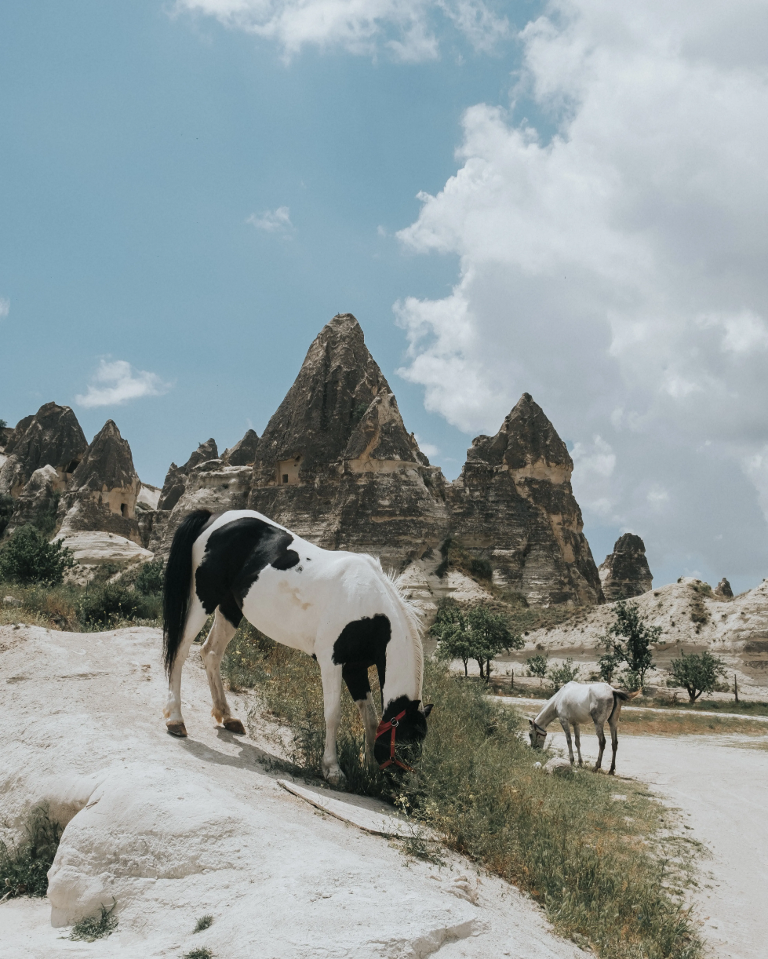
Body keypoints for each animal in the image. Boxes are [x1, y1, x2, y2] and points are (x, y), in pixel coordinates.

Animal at [162, 508, 431, 785]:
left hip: (230, 608)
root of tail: (213, 518)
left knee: (211, 653)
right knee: (180, 651)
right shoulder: (332, 663)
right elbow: (333, 714)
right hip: (203, 598)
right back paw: (176, 720)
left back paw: (228, 716)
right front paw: (333, 769)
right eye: (406, 742)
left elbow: (370, 719)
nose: (403, 787)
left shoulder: (355, 669)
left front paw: (368, 769)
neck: (365, 602)